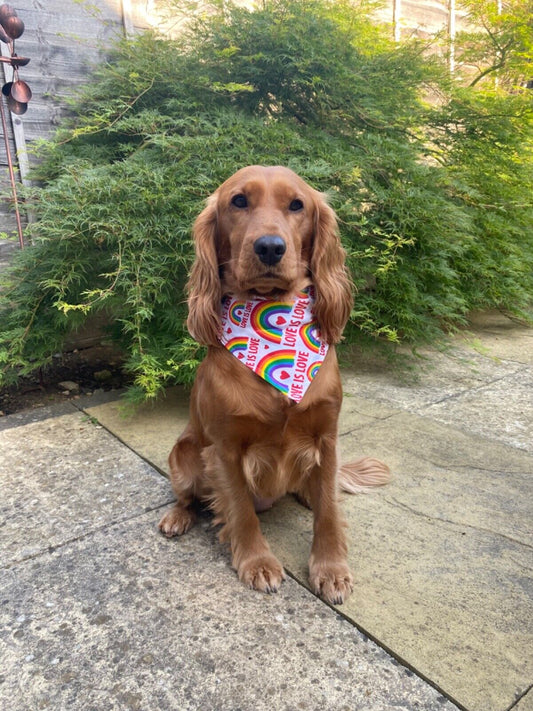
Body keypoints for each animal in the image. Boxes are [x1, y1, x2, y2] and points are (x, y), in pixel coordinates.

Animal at [156, 167, 388, 608]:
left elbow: (329, 511)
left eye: (297, 205)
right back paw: (178, 516)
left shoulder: (327, 437)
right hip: (184, 455)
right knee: (188, 496)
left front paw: (330, 568)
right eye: (238, 201)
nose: (269, 247)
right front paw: (257, 562)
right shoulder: (226, 449)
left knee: (318, 488)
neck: (273, 321)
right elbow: (240, 512)